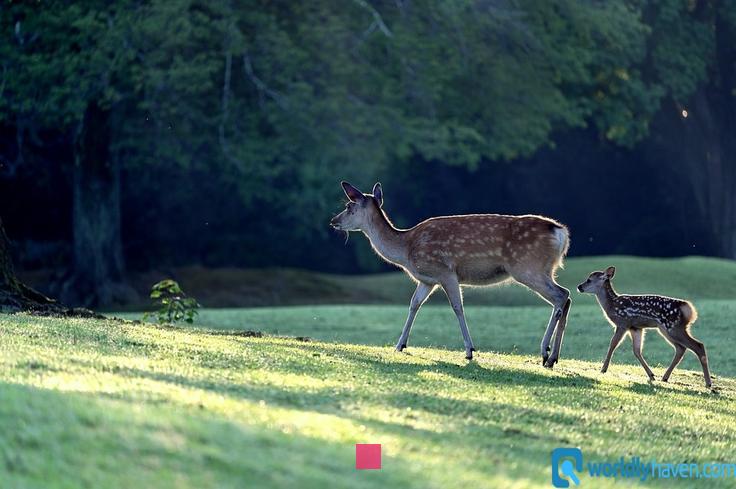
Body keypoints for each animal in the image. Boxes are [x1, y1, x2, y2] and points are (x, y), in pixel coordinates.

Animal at [330, 180, 572, 366]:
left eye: (349, 206)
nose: (333, 221)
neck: (406, 249)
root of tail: (561, 233)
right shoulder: (427, 280)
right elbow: (414, 304)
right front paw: (399, 345)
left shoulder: (446, 272)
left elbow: (457, 307)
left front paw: (470, 350)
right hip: (544, 269)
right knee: (566, 295)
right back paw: (554, 357)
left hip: (527, 267)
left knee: (560, 296)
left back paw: (545, 353)